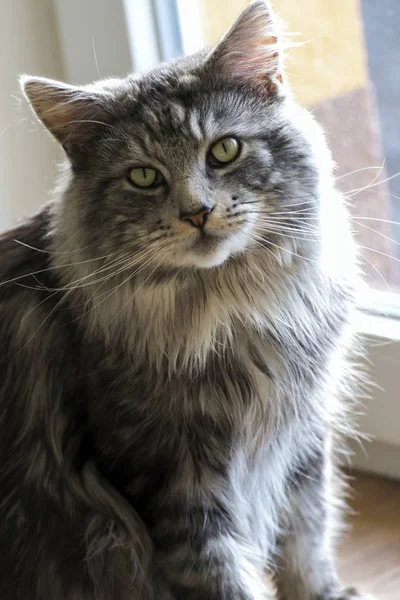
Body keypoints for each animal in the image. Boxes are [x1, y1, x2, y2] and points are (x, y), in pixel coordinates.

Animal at [0, 1, 372, 600]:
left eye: (224, 149)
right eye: (144, 177)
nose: (197, 212)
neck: (231, 312)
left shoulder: (298, 438)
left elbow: (306, 539)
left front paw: (325, 592)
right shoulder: (170, 481)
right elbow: (222, 574)